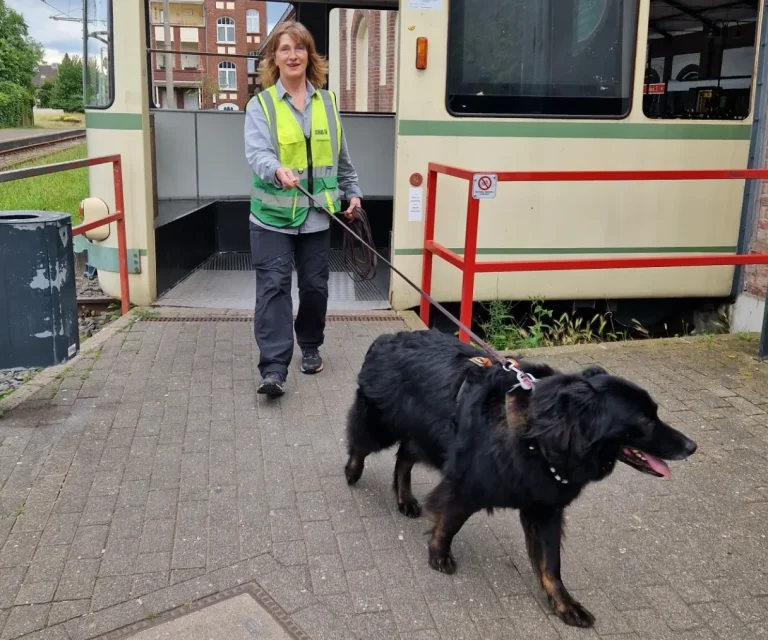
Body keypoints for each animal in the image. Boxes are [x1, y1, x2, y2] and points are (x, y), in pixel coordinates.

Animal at [344, 330, 696, 624]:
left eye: (655, 414)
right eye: (644, 421)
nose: (692, 446)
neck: (541, 437)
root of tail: (387, 337)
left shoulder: (545, 509)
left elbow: (551, 564)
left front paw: (565, 604)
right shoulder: (466, 486)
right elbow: (450, 523)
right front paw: (439, 555)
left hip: (424, 437)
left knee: (404, 457)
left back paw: (405, 499)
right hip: (382, 426)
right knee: (361, 443)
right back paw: (353, 471)